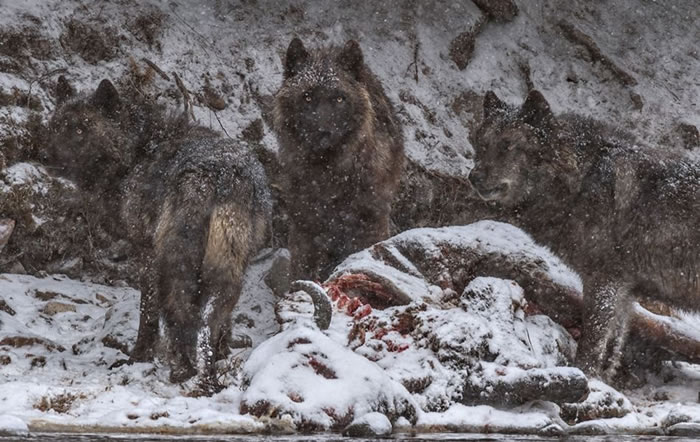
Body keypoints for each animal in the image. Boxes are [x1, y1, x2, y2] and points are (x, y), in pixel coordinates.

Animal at [45, 78, 270, 390]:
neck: (136, 152)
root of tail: (218, 176)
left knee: (180, 312)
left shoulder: (147, 253)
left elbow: (148, 314)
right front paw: (225, 351)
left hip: (173, 265)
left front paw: (138, 357)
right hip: (228, 267)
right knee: (210, 317)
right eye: (56, 126)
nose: (43, 157)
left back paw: (184, 369)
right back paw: (208, 370)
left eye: (80, 129)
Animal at [468, 89, 700, 380]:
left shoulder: (604, 280)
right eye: (481, 145)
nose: (473, 177)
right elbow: (613, 346)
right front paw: (603, 381)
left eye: (507, 145)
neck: (581, 179)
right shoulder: (625, 290)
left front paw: (583, 376)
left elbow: (592, 341)